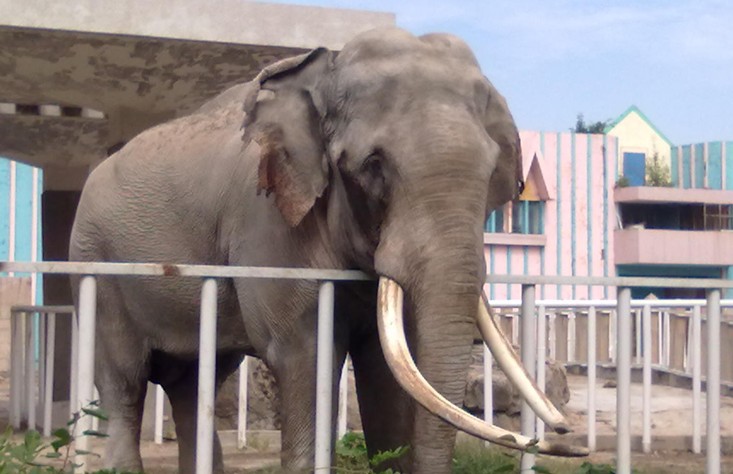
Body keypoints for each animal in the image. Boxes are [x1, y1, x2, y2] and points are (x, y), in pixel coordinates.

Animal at [69, 27, 585, 473]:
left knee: (195, 384)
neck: (323, 71)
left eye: (492, 167)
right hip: (95, 262)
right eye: (373, 164)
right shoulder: (267, 221)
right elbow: (304, 355)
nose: (569, 437)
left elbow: (388, 368)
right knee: (123, 381)